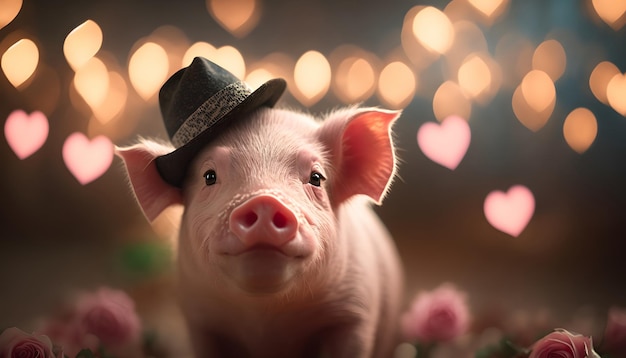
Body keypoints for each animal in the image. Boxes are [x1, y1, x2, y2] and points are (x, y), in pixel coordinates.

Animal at [116, 57, 402, 356]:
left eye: (316, 178)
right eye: (209, 176)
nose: (264, 201)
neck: (266, 317)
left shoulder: (353, 313)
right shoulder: (200, 319)